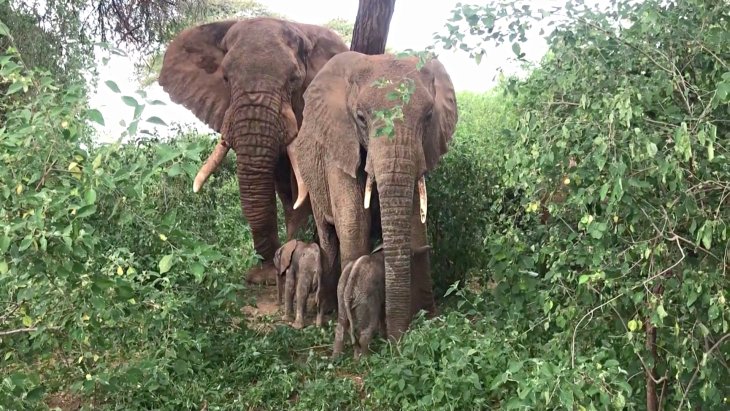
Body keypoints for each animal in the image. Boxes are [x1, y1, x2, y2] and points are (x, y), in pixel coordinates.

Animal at [159, 18, 346, 284]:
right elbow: (284, 187)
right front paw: (277, 264)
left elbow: (303, 185)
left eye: (294, 80)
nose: (260, 274)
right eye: (225, 79)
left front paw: (293, 254)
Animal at [288, 50, 456, 342]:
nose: (395, 339)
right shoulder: (340, 145)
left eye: (428, 116)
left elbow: (415, 221)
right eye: (360, 117)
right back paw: (327, 309)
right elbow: (354, 222)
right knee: (328, 236)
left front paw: (424, 318)